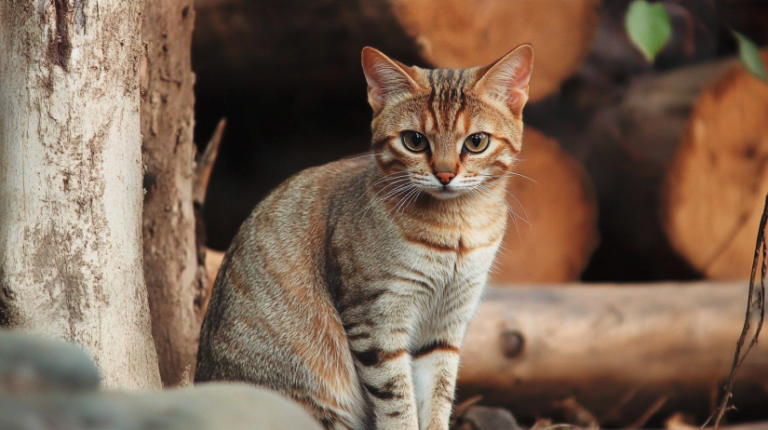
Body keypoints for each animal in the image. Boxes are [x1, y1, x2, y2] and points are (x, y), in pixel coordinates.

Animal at [196, 44, 536, 430]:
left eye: (476, 142)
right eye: (414, 141)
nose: (445, 174)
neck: (456, 229)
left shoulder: (445, 326)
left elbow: (437, 395)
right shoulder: (375, 322)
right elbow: (397, 403)